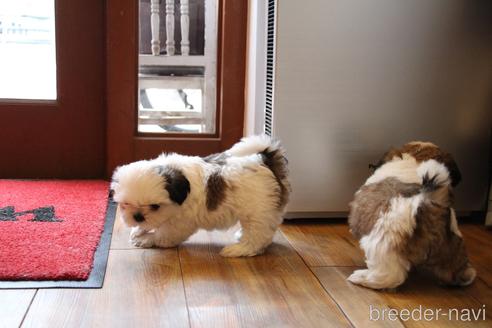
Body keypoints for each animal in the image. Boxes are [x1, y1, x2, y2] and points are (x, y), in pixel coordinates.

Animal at [109, 135, 290, 256]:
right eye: (125, 204)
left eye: (155, 206)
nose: (138, 216)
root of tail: (265, 161)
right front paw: (139, 230)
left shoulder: (180, 223)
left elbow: (164, 234)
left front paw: (146, 239)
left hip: (258, 210)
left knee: (257, 234)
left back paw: (239, 249)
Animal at [348, 141, 474, 290]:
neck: (414, 163)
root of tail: (431, 201)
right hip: (452, 243)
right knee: (460, 271)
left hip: (382, 241)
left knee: (390, 275)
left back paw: (362, 277)